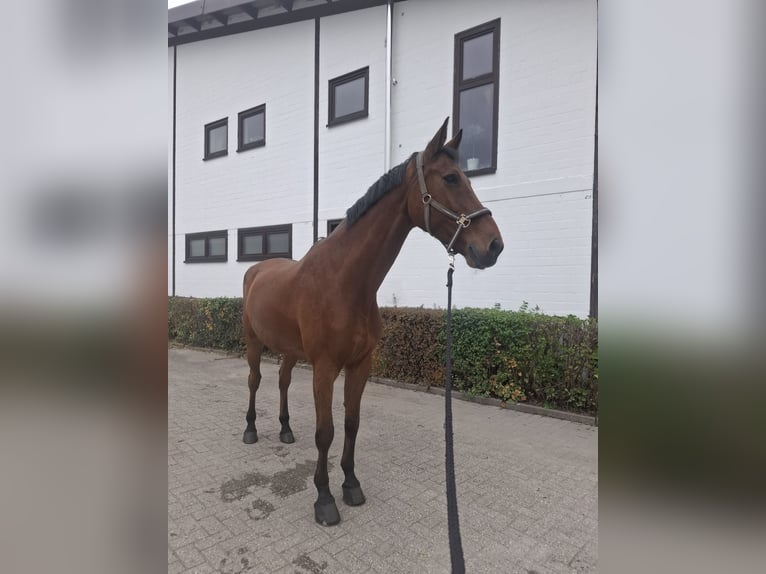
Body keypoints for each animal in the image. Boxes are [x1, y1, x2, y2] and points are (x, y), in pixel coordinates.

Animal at [241, 118, 504, 526]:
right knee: (255, 381)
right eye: (450, 178)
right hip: (255, 343)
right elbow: (326, 431)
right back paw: (251, 429)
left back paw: (285, 430)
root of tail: (256, 270)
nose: (493, 246)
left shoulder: (360, 364)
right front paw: (324, 499)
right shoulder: (325, 367)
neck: (345, 282)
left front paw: (350, 484)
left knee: (283, 382)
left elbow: (351, 423)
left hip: (289, 350)